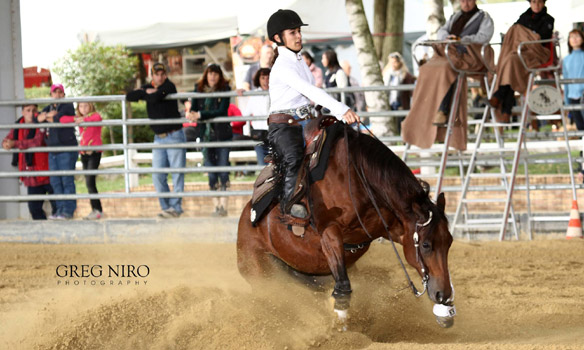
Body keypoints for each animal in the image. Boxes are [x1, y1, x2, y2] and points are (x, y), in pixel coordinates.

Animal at [235, 119, 454, 328]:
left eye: (449, 242)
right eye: (425, 245)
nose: (443, 294)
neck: (361, 179)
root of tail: (246, 219)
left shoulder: (394, 226)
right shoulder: (330, 233)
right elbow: (343, 287)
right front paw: (341, 325)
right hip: (259, 272)